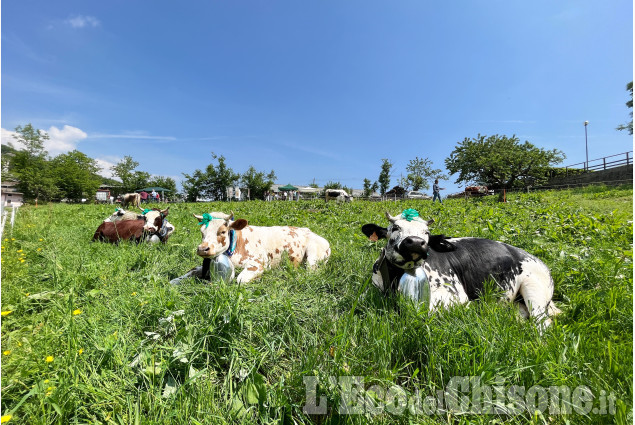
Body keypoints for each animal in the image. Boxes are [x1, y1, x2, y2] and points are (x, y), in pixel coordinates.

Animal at [173, 210, 332, 284]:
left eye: (222, 231)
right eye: (202, 232)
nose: (202, 249)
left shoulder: (259, 264)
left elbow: (240, 279)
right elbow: (192, 270)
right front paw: (176, 280)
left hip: (313, 255)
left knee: (311, 272)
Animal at [362, 208, 560, 328]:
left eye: (427, 232)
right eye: (395, 227)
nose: (416, 242)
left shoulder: (453, 293)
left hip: (535, 289)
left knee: (542, 322)